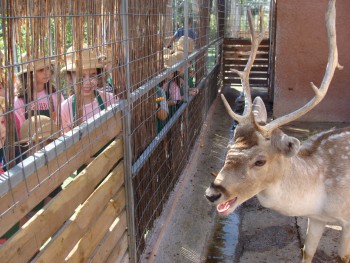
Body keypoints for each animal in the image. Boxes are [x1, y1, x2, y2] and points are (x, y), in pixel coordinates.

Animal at [204, 1, 348, 262]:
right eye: (229, 148)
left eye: (260, 161)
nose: (212, 194)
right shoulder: (317, 219)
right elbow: (307, 252)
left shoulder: (347, 222)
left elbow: (343, 256)